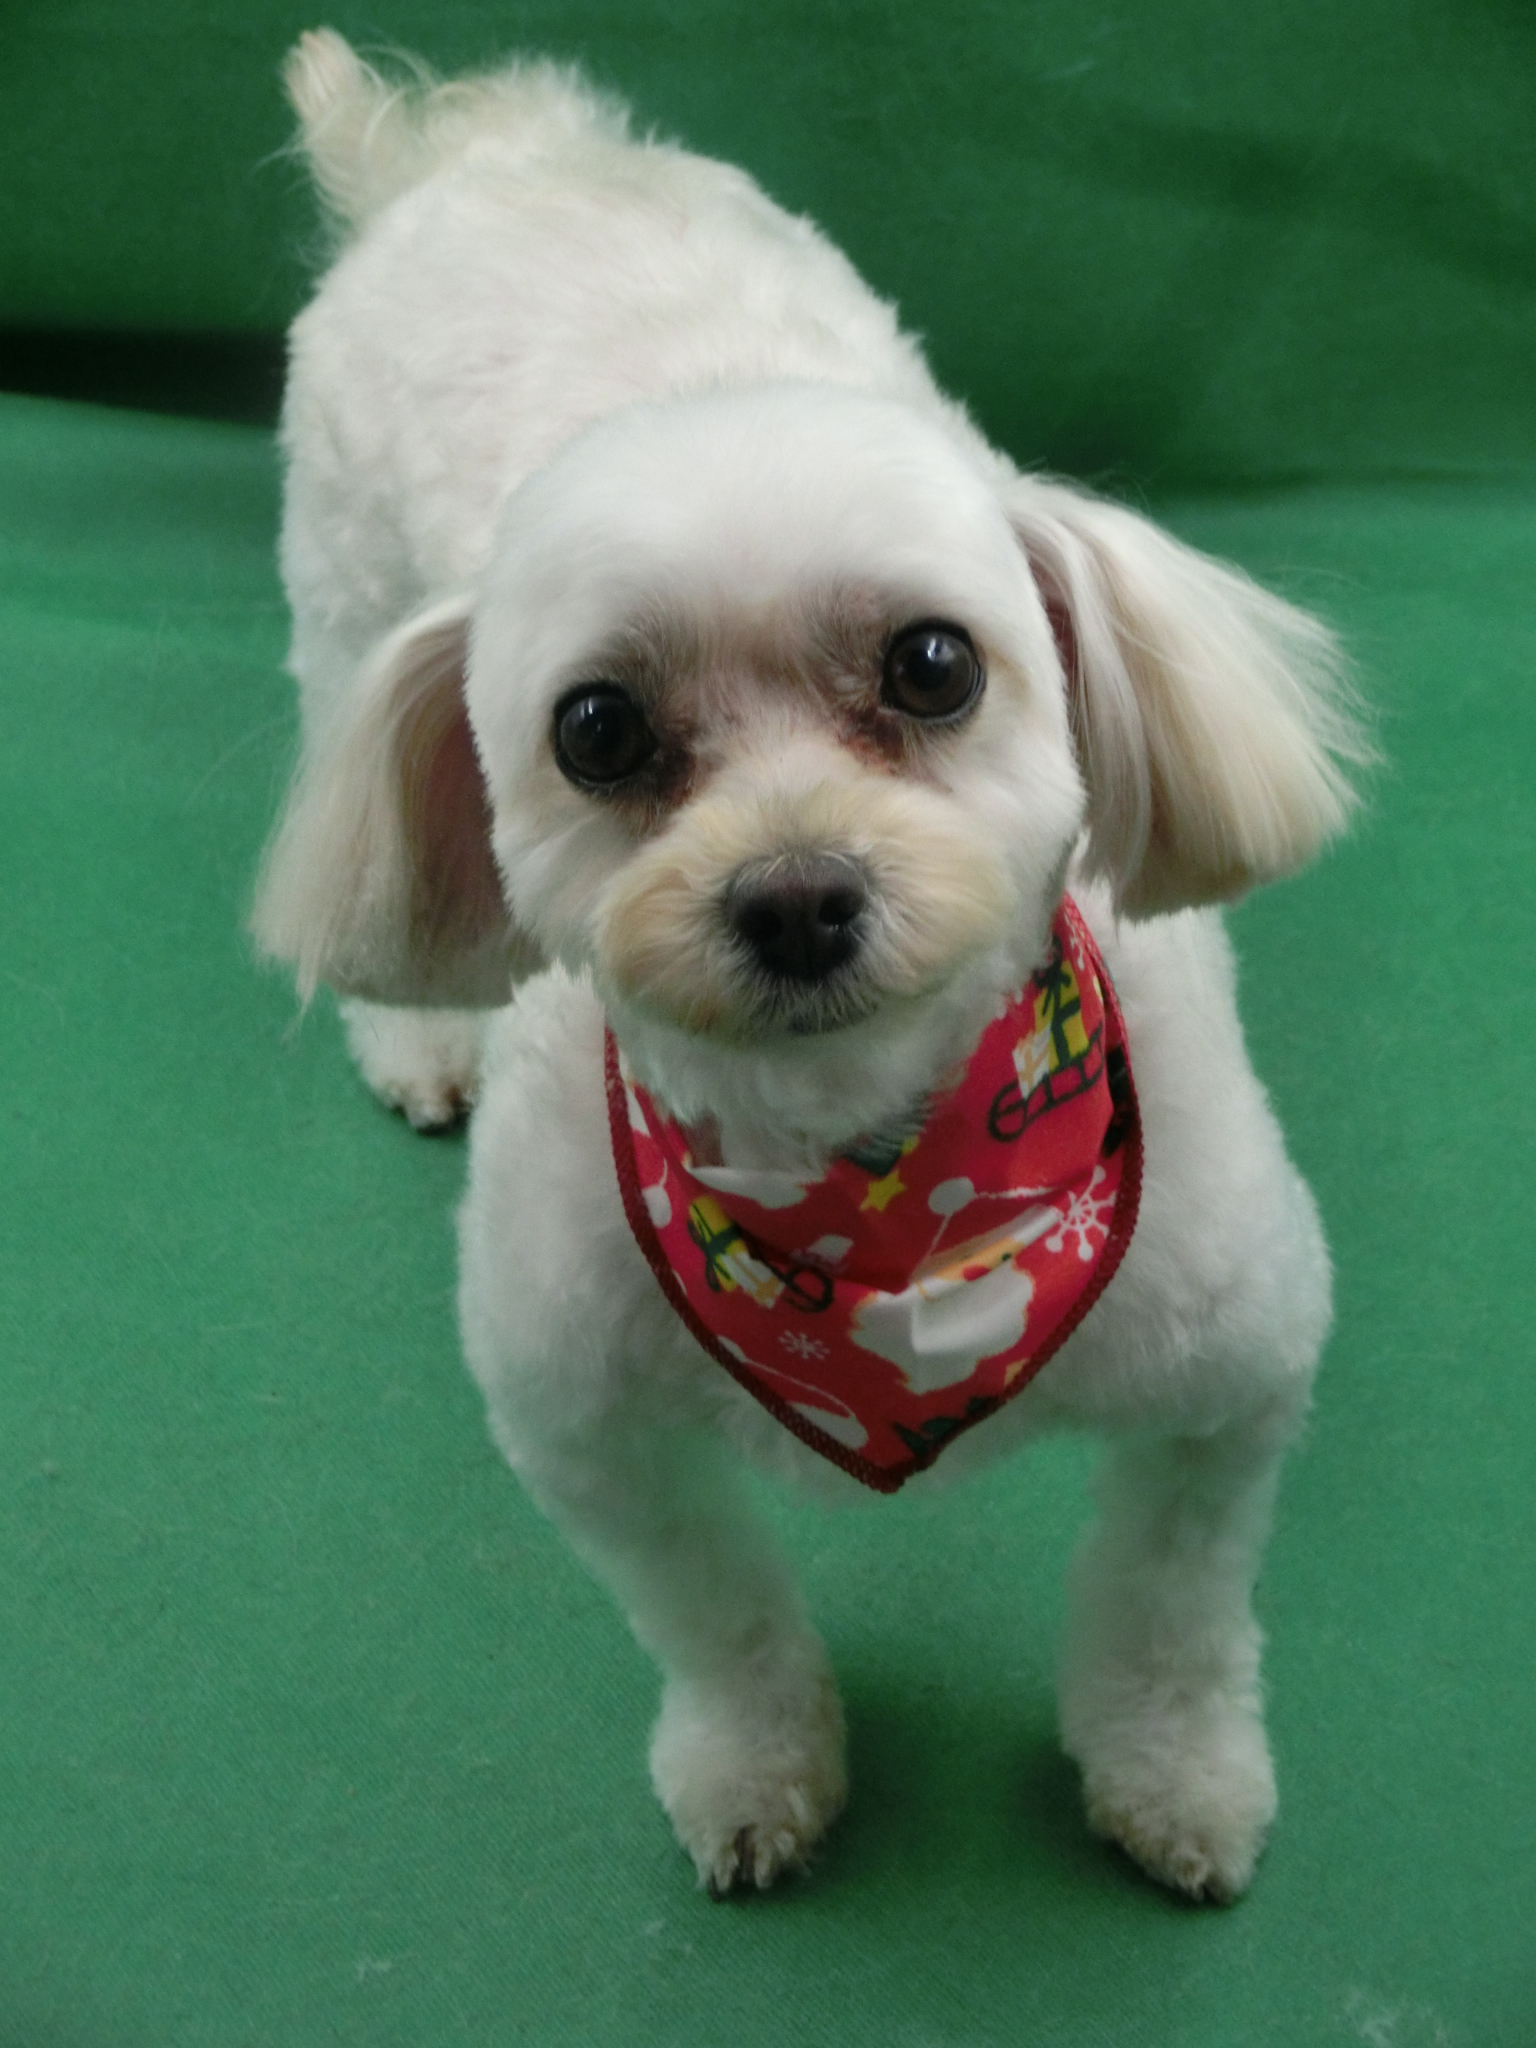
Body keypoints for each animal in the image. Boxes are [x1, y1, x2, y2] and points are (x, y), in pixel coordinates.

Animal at [254, 30, 1364, 1901]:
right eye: (596, 730)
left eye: (933, 664)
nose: (791, 897)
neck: (882, 1193)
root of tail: (483, 154)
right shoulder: (583, 1427)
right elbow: (718, 1623)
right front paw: (755, 1767)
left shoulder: (1232, 1378)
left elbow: (1170, 1614)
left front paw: (1177, 1775)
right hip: (342, 613)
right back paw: (415, 1033)